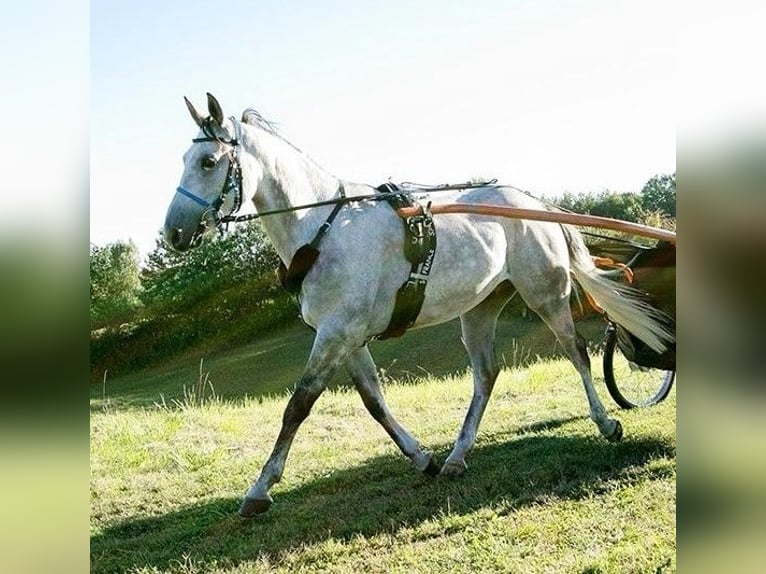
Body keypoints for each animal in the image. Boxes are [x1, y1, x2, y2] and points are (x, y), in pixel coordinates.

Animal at [165, 93, 676, 516]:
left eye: (208, 161)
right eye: (184, 159)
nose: (173, 232)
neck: (324, 229)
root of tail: (531, 202)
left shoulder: (335, 334)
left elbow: (299, 404)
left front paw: (260, 489)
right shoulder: (347, 337)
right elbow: (373, 401)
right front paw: (423, 458)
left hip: (545, 294)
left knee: (577, 353)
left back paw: (605, 423)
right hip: (480, 308)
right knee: (486, 375)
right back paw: (457, 455)